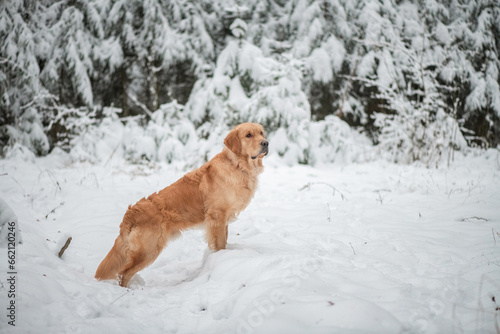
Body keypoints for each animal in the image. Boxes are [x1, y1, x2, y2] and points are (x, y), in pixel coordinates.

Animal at [96, 122, 272, 288]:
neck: (238, 165)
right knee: (123, 273)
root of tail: (130, 213)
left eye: (261, 133)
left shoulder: (223, 220)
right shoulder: (217, 216)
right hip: (149, 249)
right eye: (248, 135)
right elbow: (220, 244)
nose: (266, 143)